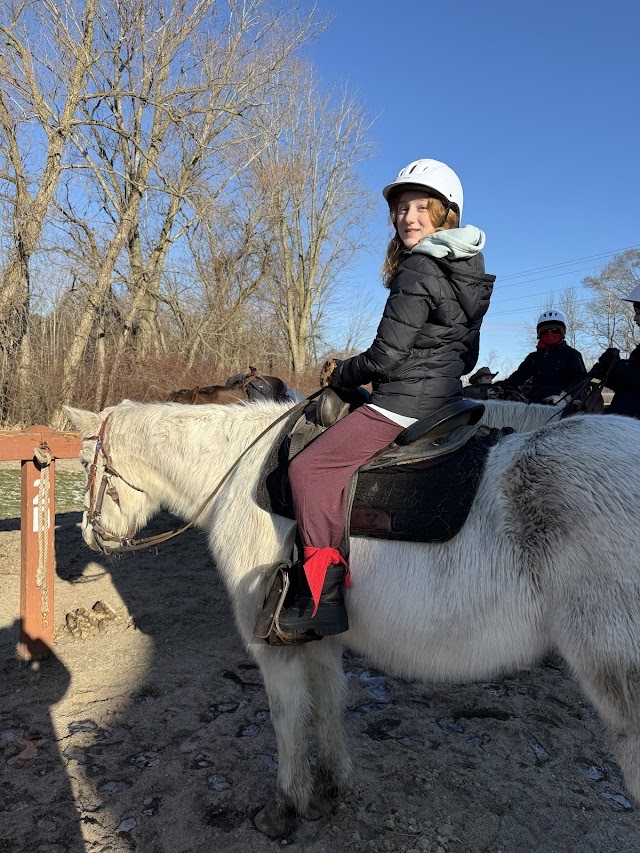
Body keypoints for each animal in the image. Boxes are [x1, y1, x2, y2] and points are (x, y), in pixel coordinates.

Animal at [64, 399, 640, 837]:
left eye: (89, 463)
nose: (90, 536)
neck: (243, 476)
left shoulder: (272, 643)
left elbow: (288, 715)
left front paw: (287, 804)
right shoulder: (317, 633)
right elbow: (328, 702)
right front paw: (334, 786)